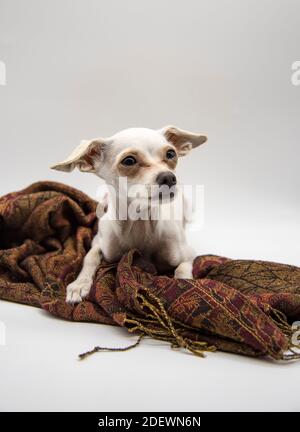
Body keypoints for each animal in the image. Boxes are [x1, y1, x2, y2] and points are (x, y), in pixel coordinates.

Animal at [51, 125, 206, 304]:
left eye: (170, 154)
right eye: (129, 161)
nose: (169, 177)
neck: (140, 224)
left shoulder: (188, 253)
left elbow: (183, 271)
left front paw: (184, 285)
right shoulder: (100, 242)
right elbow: (90, 257)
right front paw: (79, 284)